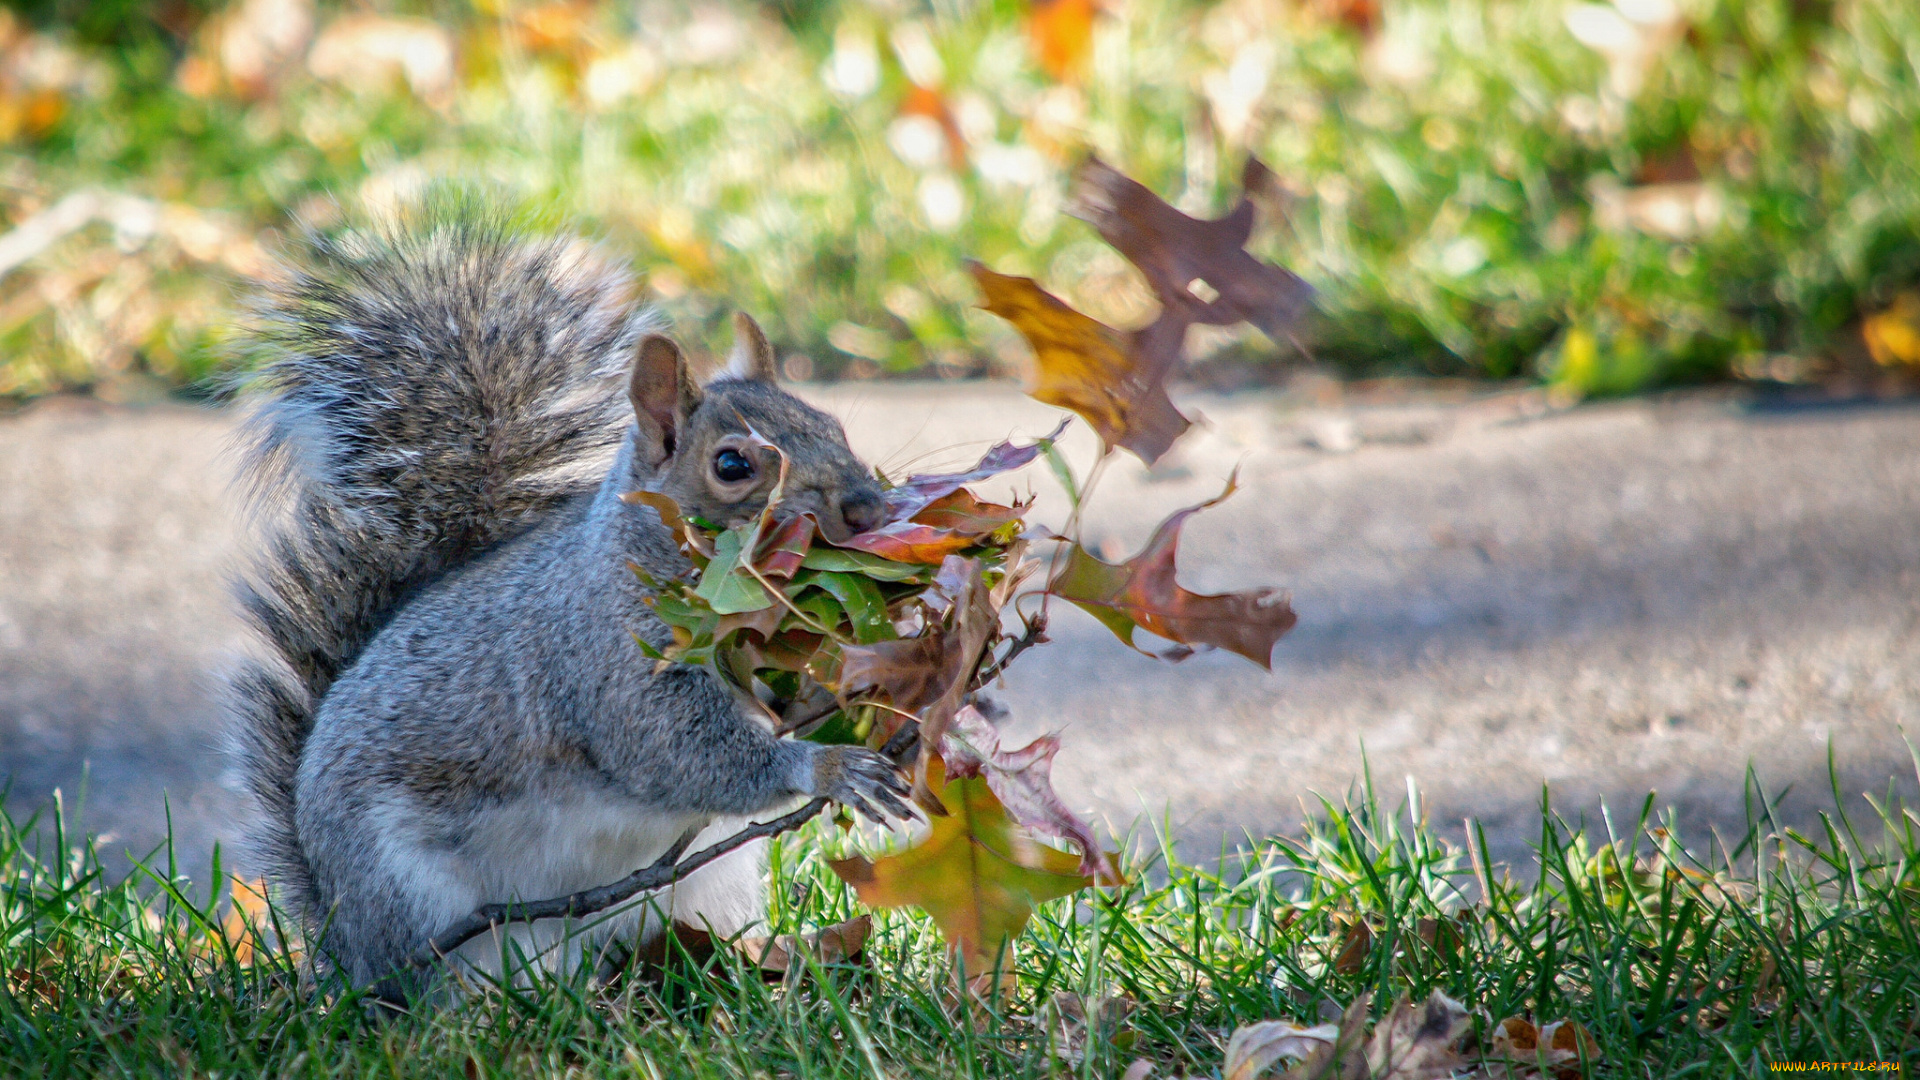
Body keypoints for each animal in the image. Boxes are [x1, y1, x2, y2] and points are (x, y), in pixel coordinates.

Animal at [224, 205, 913, 999]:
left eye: (834, 427)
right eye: (732, 465)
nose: (868, 506)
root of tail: (345, 948)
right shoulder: (608, 663)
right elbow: (679, 752)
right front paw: (826, 767)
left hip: (695, 888)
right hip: (416, 901)